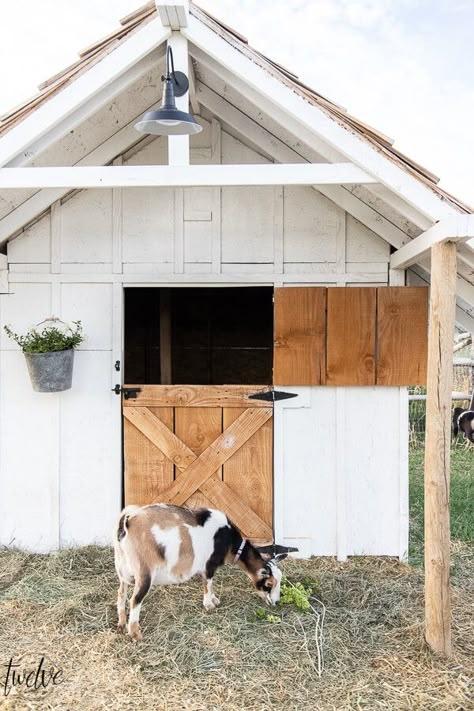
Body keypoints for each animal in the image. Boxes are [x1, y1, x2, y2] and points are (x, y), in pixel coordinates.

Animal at [114, 504, 288, 644]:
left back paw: (121, 624)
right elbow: (208, 583)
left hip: (123, 569)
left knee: (121, 593)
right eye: (269, 584)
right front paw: (209, 604)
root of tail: (127, 521)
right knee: (135, 600)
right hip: (144, 571)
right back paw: (135, 634)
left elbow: (209, 583)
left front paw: (215, 599)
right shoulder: (209, 564)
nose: (276, 602)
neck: (229, 542)